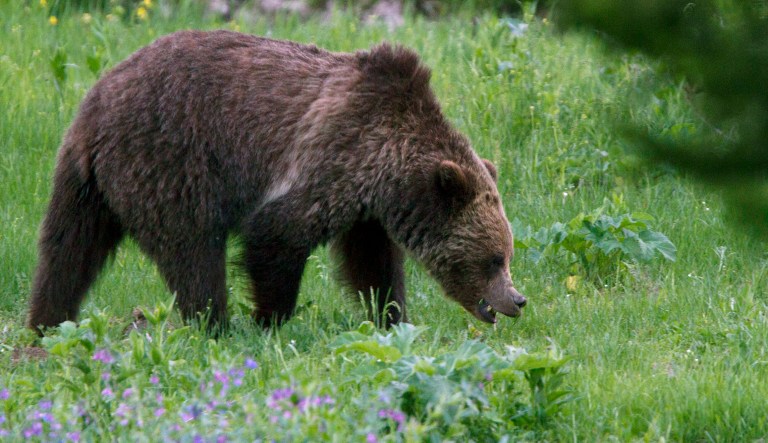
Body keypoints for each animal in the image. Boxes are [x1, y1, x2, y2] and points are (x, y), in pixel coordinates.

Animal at [27, 30, 527, 334]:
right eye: (493, 259)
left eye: (506, 254)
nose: (517, 299)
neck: (388, 168)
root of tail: (95, 105)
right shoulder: (332, 154)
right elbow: (277, 233)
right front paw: (271, 320)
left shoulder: (365, 207)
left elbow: (372, 263)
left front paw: (391, 316)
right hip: (169, 162)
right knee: (193, 252)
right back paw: (215, 324)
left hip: (87, 184)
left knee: (67, 250)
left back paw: (46, 323)